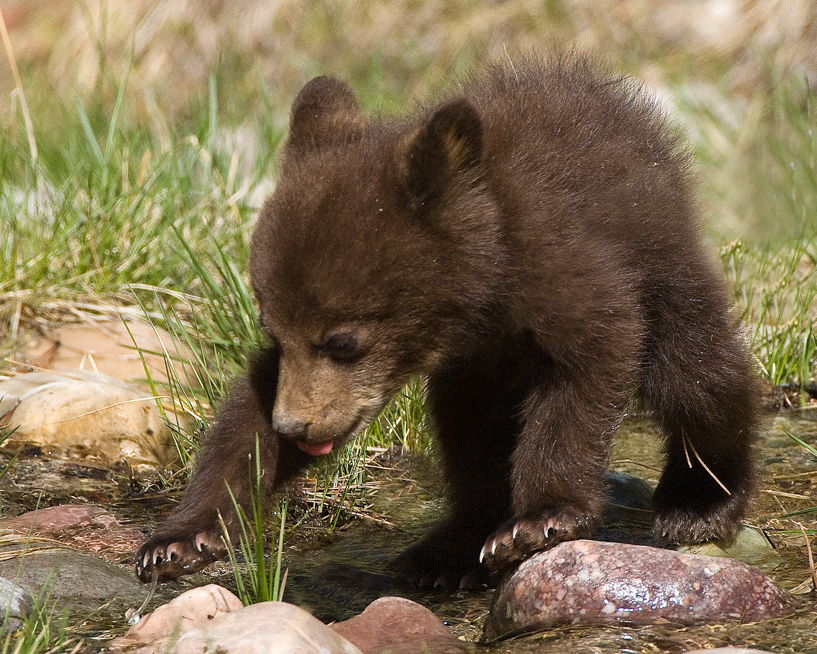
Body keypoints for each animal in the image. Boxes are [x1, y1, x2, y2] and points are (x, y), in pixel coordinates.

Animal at [135, 54, 758, 589]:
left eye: (343, 341)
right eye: (271, 326)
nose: (296, 426)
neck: (481, 299)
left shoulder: (564, 272)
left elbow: (589, 363)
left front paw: (541, 520)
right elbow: (249, 410)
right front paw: (180, 539)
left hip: (662, 268)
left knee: (698, 379)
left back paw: (701, 501)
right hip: (476, 378)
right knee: (468, 434)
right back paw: (447, 550)